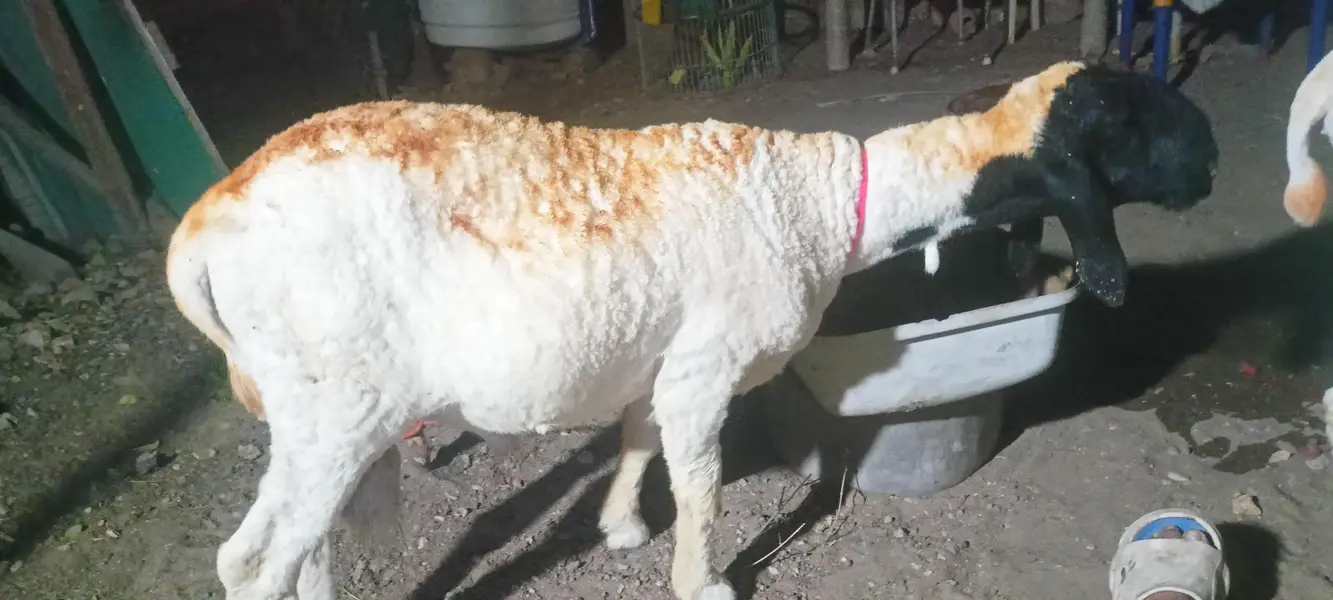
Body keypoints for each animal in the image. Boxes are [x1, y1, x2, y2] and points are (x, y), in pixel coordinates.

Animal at [165, 60, 1216, 600]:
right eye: (1134, 122)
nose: (1207, 171)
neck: (824, 202)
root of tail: (205, 223)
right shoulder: (707, 368)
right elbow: (704, 488)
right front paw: (700, 581)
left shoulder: (662, 356)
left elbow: (639, 441)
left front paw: (623, 528)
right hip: (335, 402)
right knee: (254, 563)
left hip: (319, 413)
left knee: (292, 549)